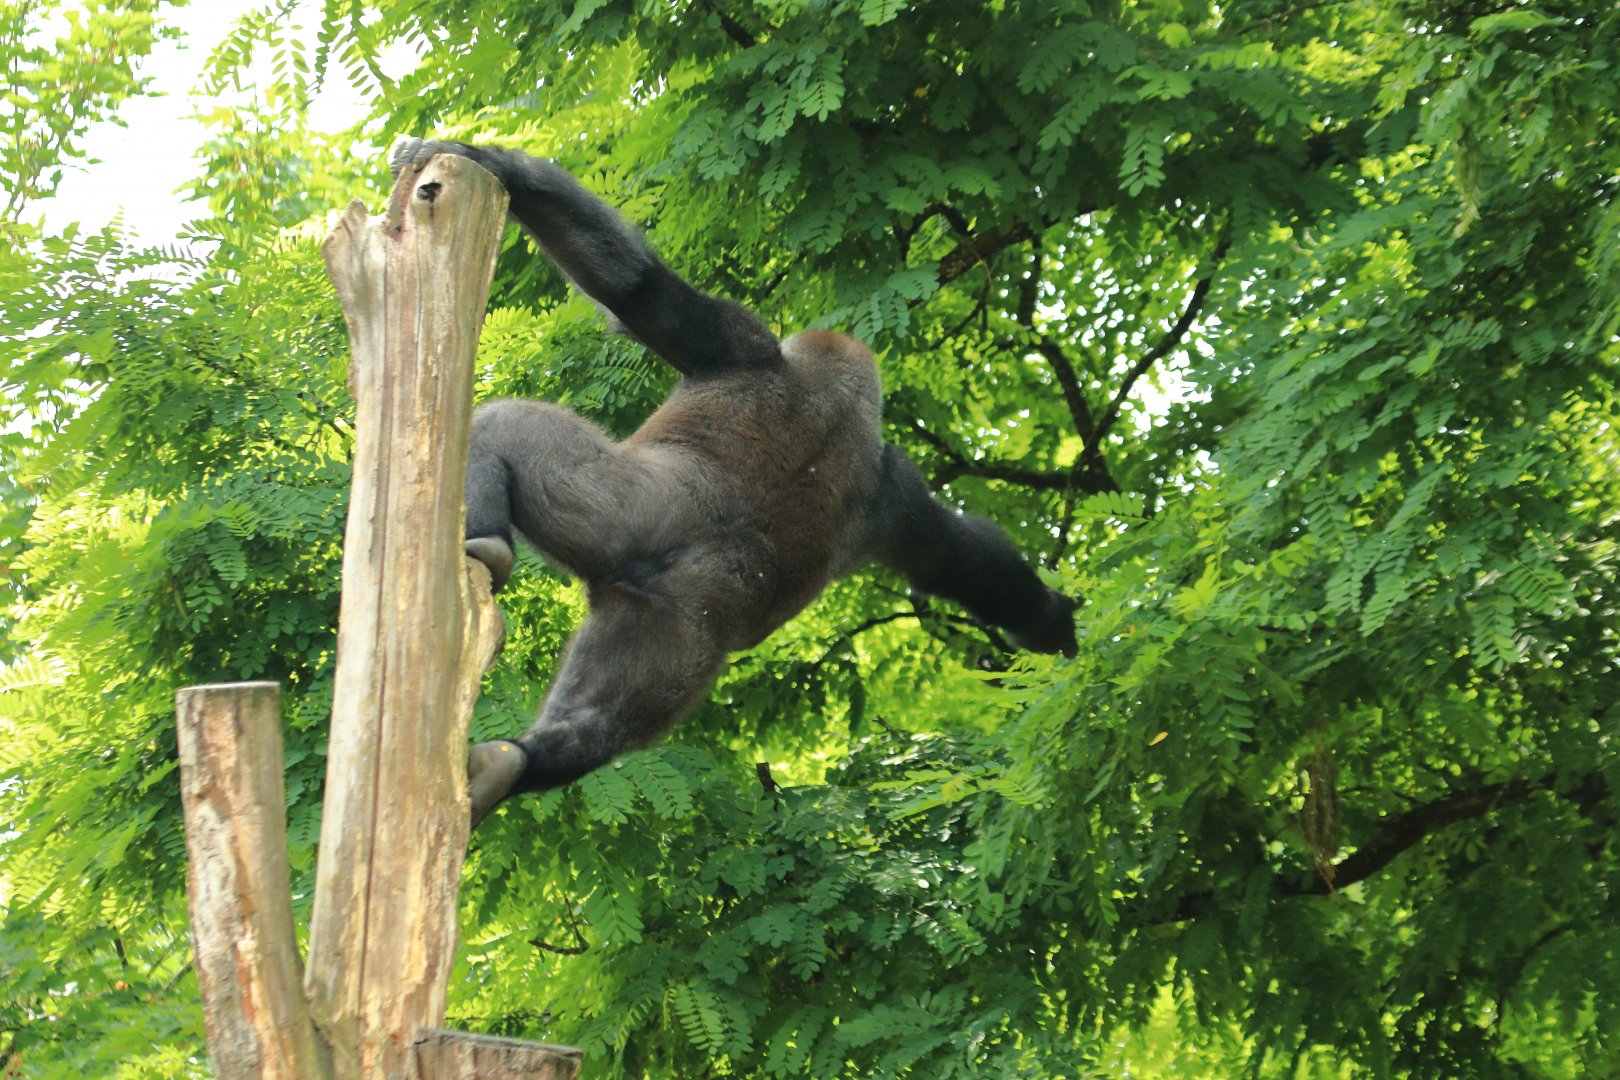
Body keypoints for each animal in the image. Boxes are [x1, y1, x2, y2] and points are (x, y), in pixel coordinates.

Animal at [388, 139, 1078, 826]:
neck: (839, 400)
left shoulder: (739, 341)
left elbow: (634, 284)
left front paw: (489, 160)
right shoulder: (895, 486)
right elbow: (960, 563)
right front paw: (1053, 625)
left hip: (611, 517)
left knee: (505, 428)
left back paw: (485, 549)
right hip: (682, 628)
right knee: (601, 727)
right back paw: (514, 763)